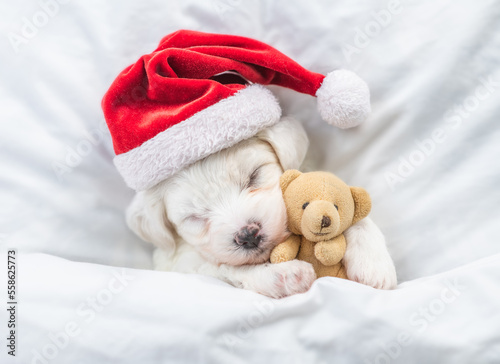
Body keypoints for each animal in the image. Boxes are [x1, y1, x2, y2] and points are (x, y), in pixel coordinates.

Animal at [127, 117, 396, 298]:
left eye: (254, 176)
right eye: (194, 217)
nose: (248, 235)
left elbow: (352, 212)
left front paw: (374, 265)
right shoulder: (183, 264)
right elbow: (228, 268)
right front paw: (286, 275)